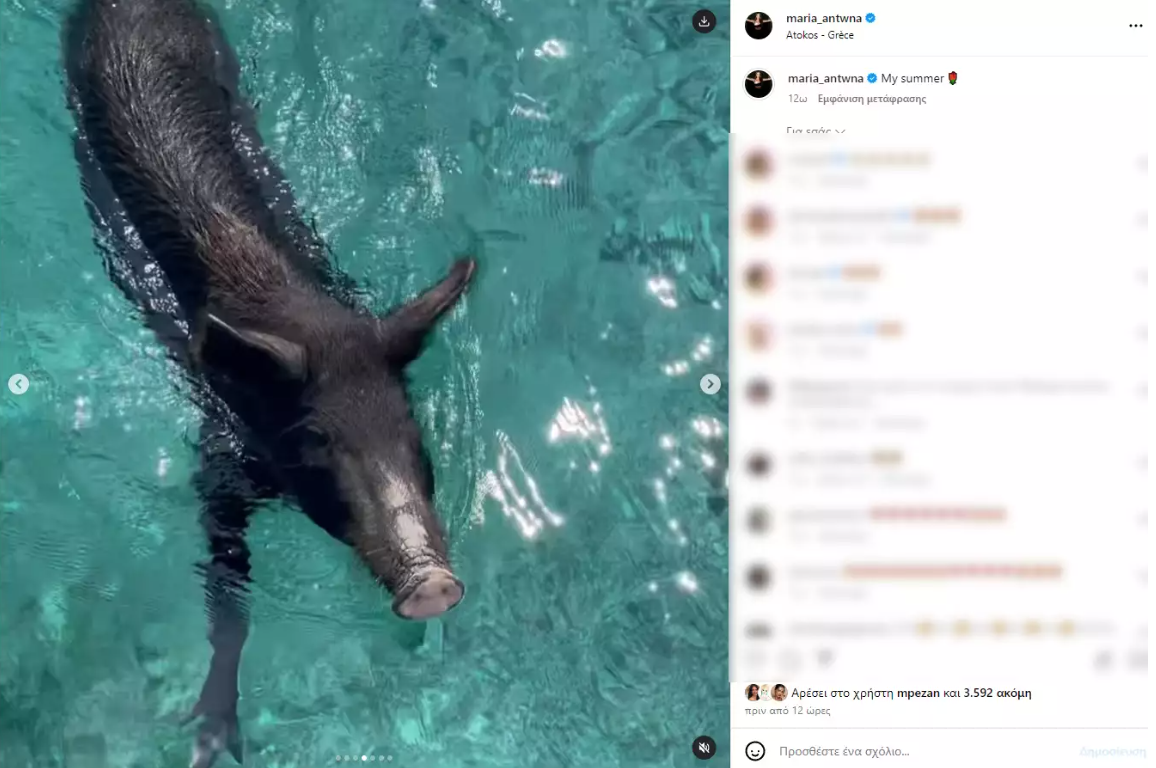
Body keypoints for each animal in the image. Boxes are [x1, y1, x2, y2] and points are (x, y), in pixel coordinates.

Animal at [62, 0, 475, 765]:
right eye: (319, 443)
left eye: (412, 432)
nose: (434, 582)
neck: (293, 311)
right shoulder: (218, 461)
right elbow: (226, 588)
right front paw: (209, 742)